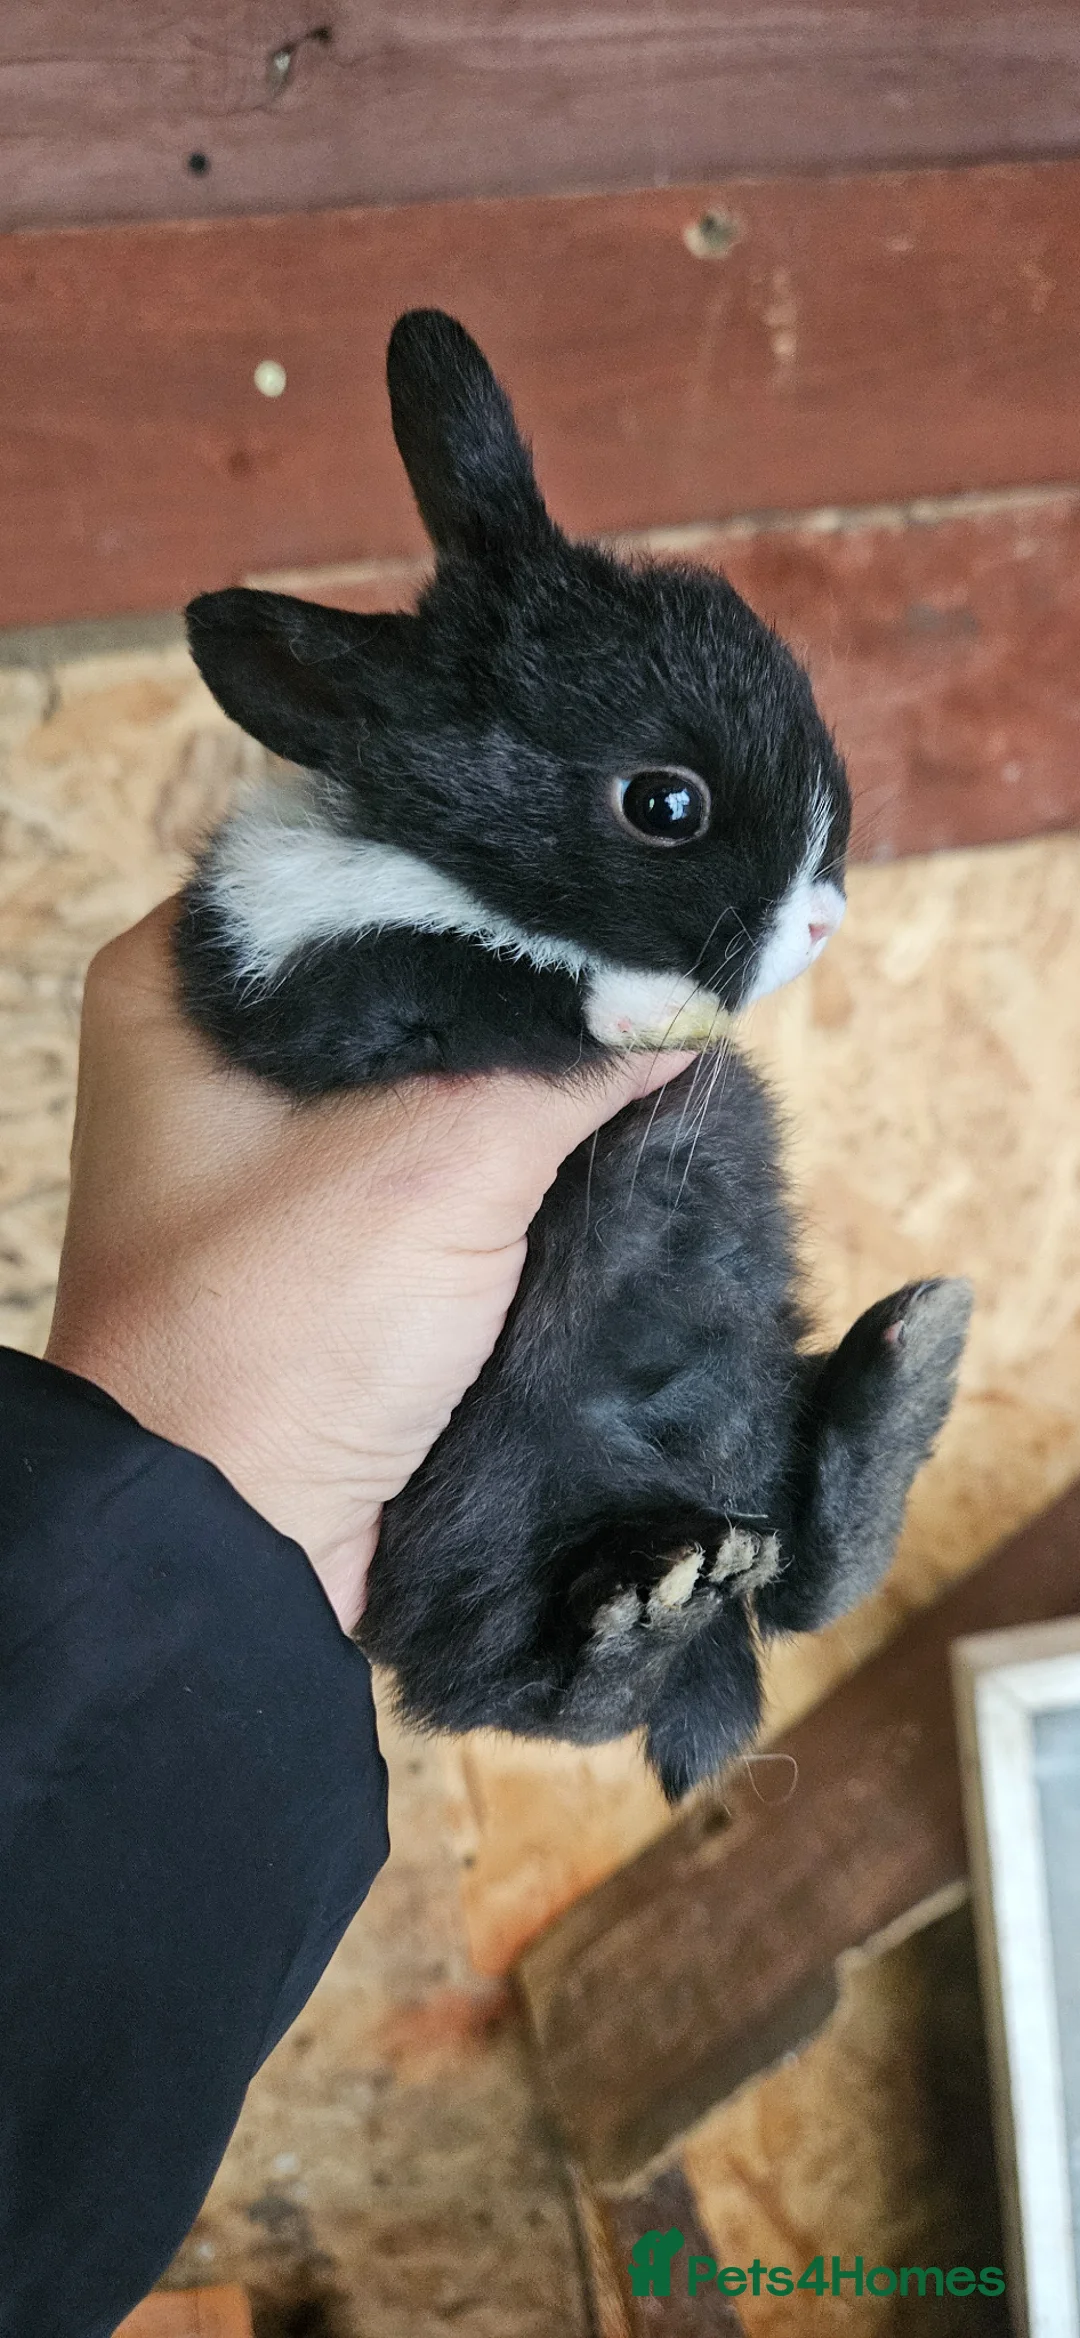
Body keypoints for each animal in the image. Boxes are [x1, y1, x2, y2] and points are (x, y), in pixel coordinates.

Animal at [177, 309, 971, 1799]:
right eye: (664, 803)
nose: (824, 918)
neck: (445, 856)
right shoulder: (313, 981)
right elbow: (466, 977)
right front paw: (649, 1011)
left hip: (756, 1413)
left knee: (804, 1575)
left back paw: (903, 1376)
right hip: (494, 1542)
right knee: (566, 1687)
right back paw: (651, 1609)